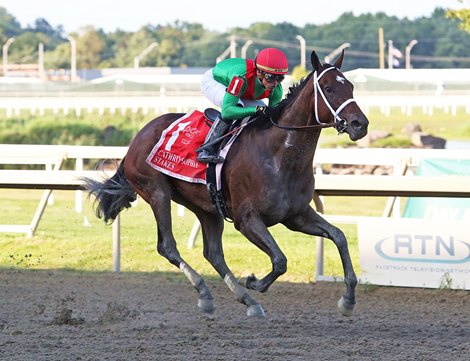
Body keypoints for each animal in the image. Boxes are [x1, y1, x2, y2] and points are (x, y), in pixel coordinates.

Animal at [86, 50, 370, 316]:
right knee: (168, 246)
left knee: (213, 253)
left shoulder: (296, 215)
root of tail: (137, 138)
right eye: (330, 88)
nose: (360, 124)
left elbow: (339, 236)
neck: (279, 155)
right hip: (157, 193)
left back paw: (244, 301)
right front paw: (254, 281)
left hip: (206, 207)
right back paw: (207, 291)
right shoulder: (247, 219)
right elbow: (280, 260)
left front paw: (348, 300)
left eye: (351, 86)